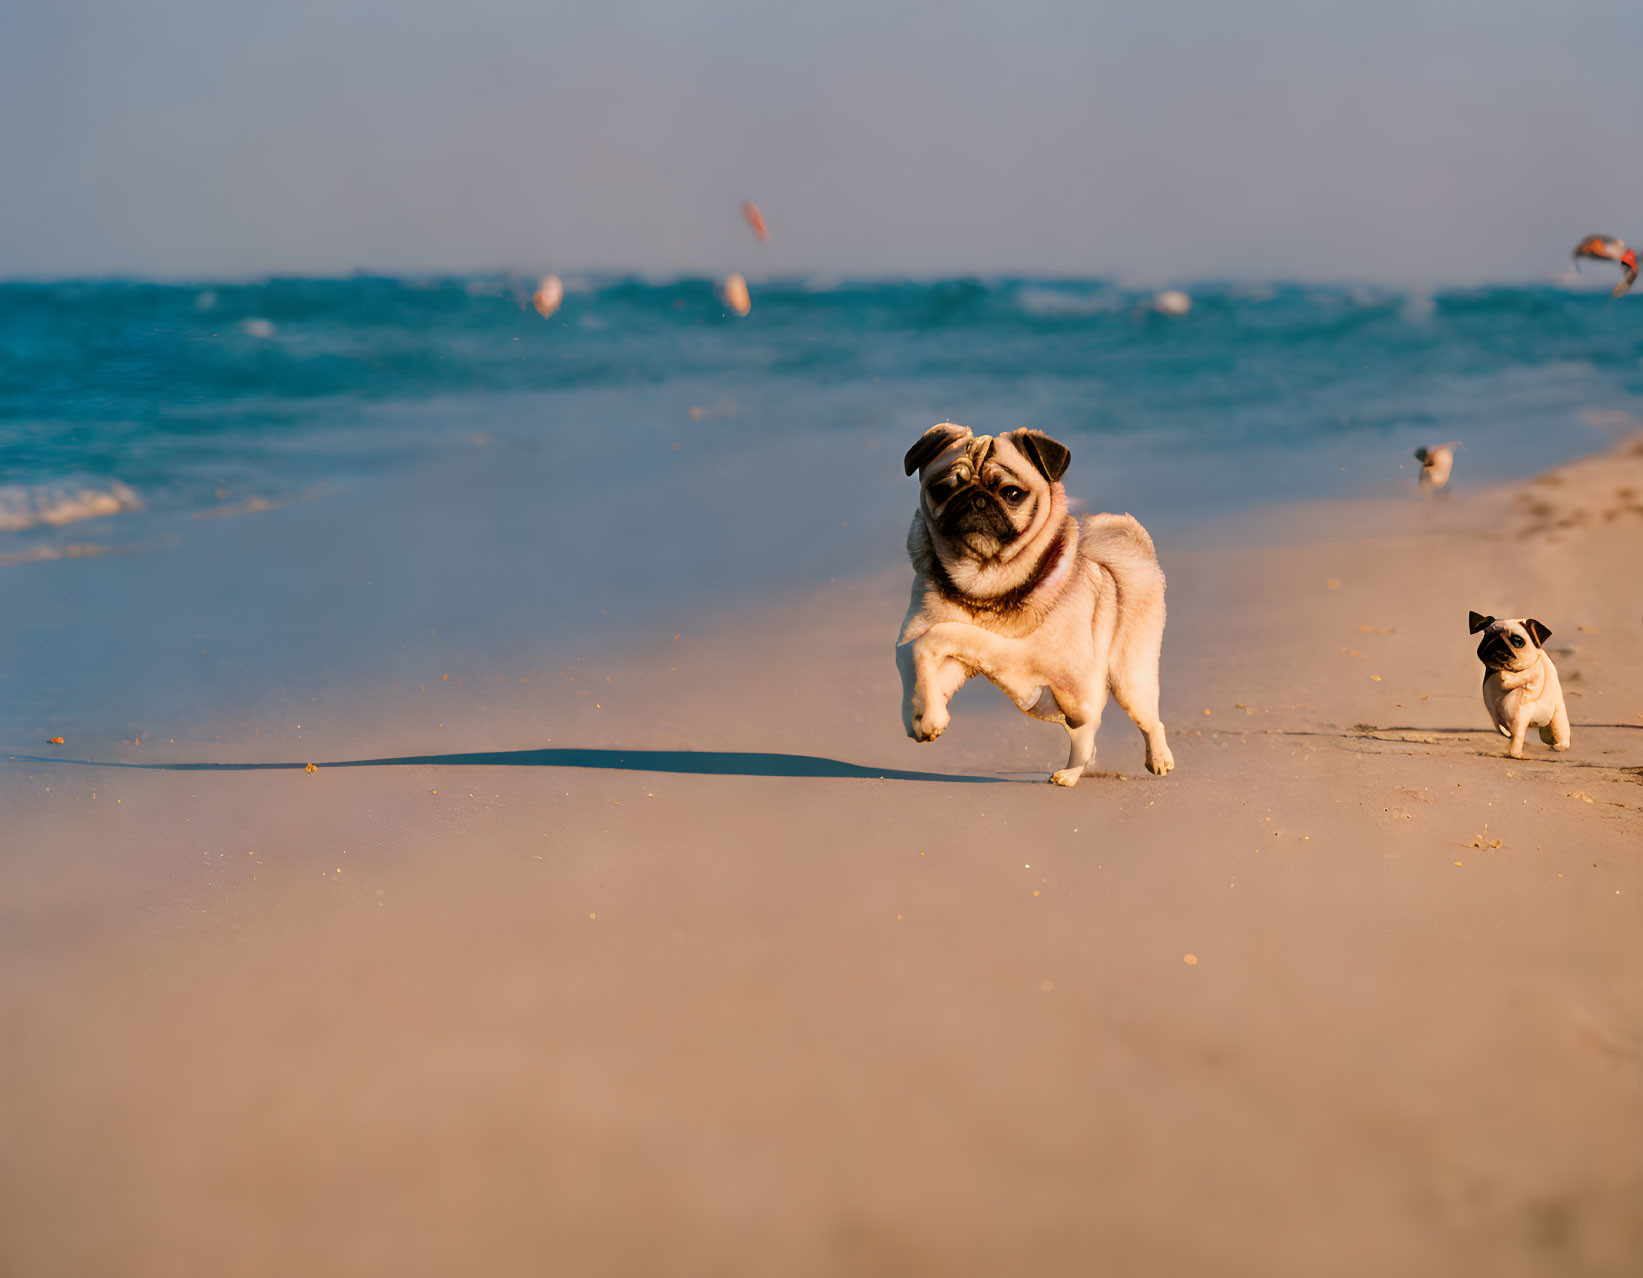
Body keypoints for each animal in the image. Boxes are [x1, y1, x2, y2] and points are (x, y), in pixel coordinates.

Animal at [893, 423, 1176, 781]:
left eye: (1012, 493)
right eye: (943, 489)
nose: (975, 499)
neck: (982, 581)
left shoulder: (1010, 650)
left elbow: (934, 640)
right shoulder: (923, 638)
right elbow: (912, 657)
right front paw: (923, 717)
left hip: (1125, 680)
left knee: (1142, 720)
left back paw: (1158, 758)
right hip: (1054, 700)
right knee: (1083, 728)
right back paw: (1071, 773)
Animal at [1472, 611, 1570, 755]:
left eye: (1517, 640)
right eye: (1486, 634)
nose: (1498, 640)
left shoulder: (1520, 716)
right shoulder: (1495, 715)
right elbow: (1501, 728)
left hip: (1558, 717)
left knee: (1559, 731)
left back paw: (1558, 746)